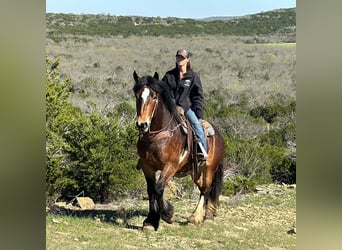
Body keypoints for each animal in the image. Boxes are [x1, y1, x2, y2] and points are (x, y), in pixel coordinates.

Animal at [133, 70, 224, 230]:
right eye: (137, 96)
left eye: (154, 96)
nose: (142, 124)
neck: (156, 136)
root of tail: (219, 135)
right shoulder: (147, 166)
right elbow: (151, 190)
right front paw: (151, 221)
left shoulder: (171, 166)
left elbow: (158, 188)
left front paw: (168, 215)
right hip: (196, 172)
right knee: (203, 188)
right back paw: (207, 215)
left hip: (210, 168)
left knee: (206, 190)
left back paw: (196, 217)